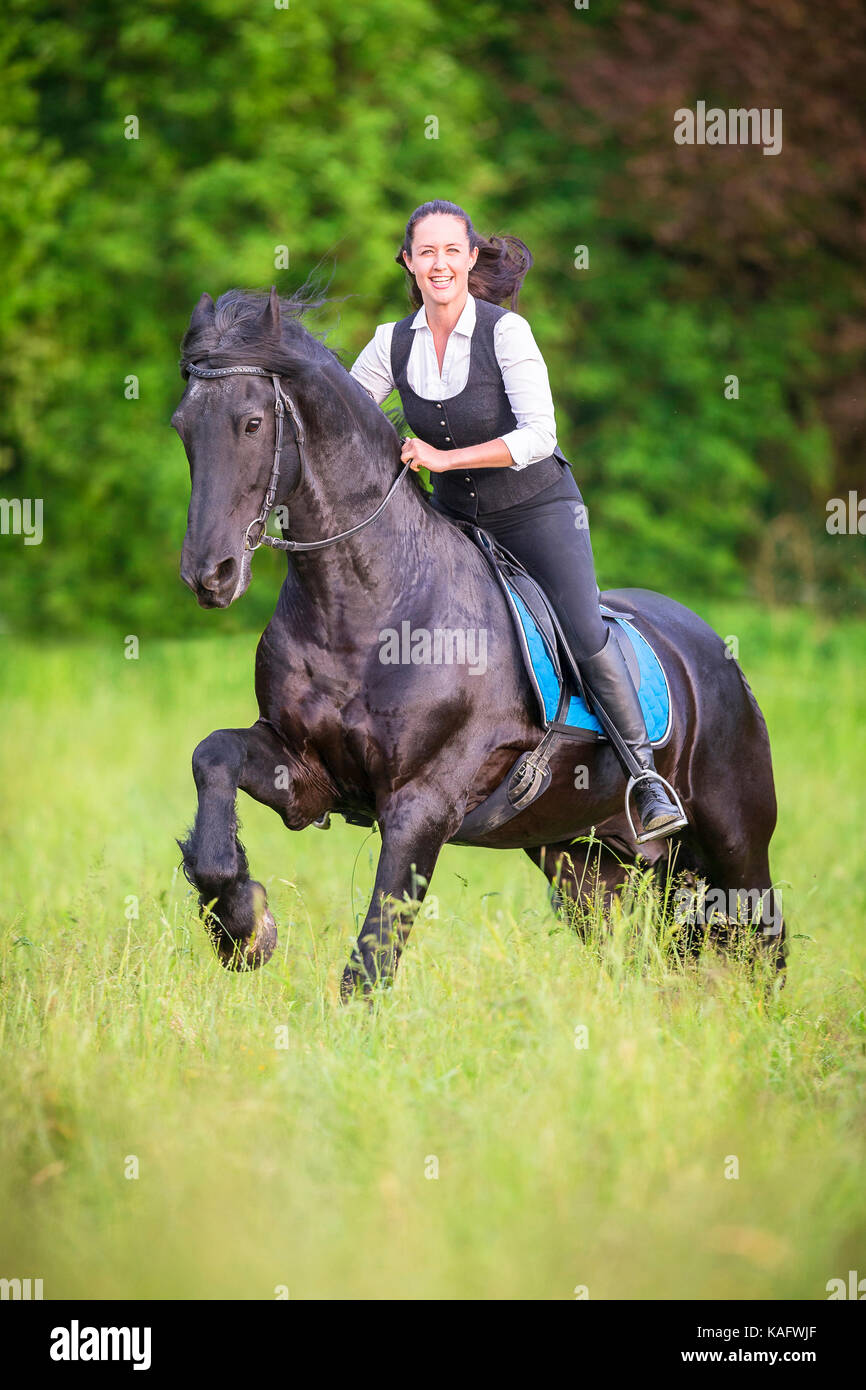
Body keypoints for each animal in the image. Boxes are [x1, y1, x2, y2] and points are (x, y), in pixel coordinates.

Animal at [174, 290, 783, 989]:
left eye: (251, 423)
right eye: (182, 427)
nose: (209, 575)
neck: (362, 610)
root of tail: (715, 652)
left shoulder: (422, 807)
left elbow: (372, 959)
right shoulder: (307, 772)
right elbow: (212, 758)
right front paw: (243, 926)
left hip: (733, 842)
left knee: (765, 946)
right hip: (582, 862)